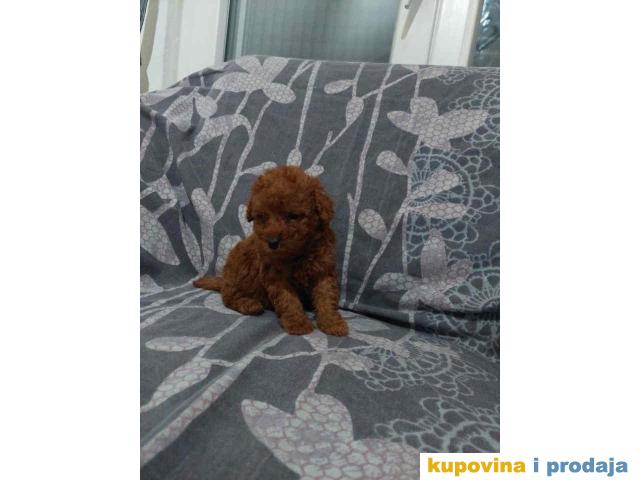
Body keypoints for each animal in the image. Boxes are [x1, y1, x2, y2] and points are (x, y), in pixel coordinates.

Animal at [193, 166, 348, 336]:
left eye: (292, 216)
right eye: (262, 217)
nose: (272, 242)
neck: (299, 253)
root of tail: (224, 279)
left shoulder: (323, 271)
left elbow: (326, 297)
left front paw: (332, 322)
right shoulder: (275, 277)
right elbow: (288, 300)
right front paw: (297, 323)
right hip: (239, 269)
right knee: (228, 296)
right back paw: (249, 304)